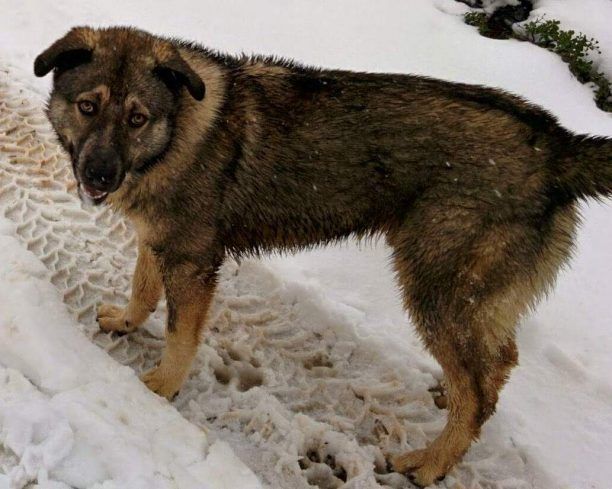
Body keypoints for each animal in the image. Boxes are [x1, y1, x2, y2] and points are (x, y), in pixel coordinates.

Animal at [34, 26, 611, 486]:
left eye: (137, 117)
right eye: (88, 106)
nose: (99, 176)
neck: (175, 133)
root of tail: (560, 147)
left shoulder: (193, 263)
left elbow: (179, 335)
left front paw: (161, 387)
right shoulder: (161, 243)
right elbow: (142, 287)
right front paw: (127, 322)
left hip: (435, 286)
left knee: (480, 388)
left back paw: (433, 461)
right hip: (468, 298)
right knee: (494, 366)